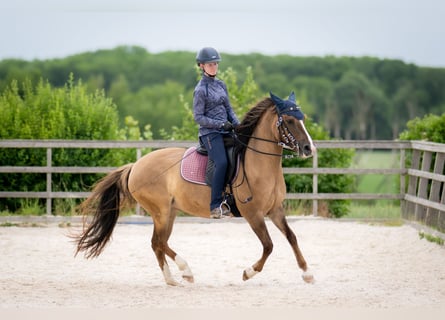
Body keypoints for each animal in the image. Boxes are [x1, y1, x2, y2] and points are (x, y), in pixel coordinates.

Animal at [73, 91, 316, 286]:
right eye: (290, 120)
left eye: (303, 119)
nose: (309, 148)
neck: (259, 164)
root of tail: (135, 166)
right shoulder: (253, 214)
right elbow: (269, 245)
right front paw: (248, 273)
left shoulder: (275, 210)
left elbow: (292, 237)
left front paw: (307, 273)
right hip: (161, 212)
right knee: (159, 242)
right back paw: (186, 271)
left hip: (169, 212)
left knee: (157, 243)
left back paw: (172, 279)